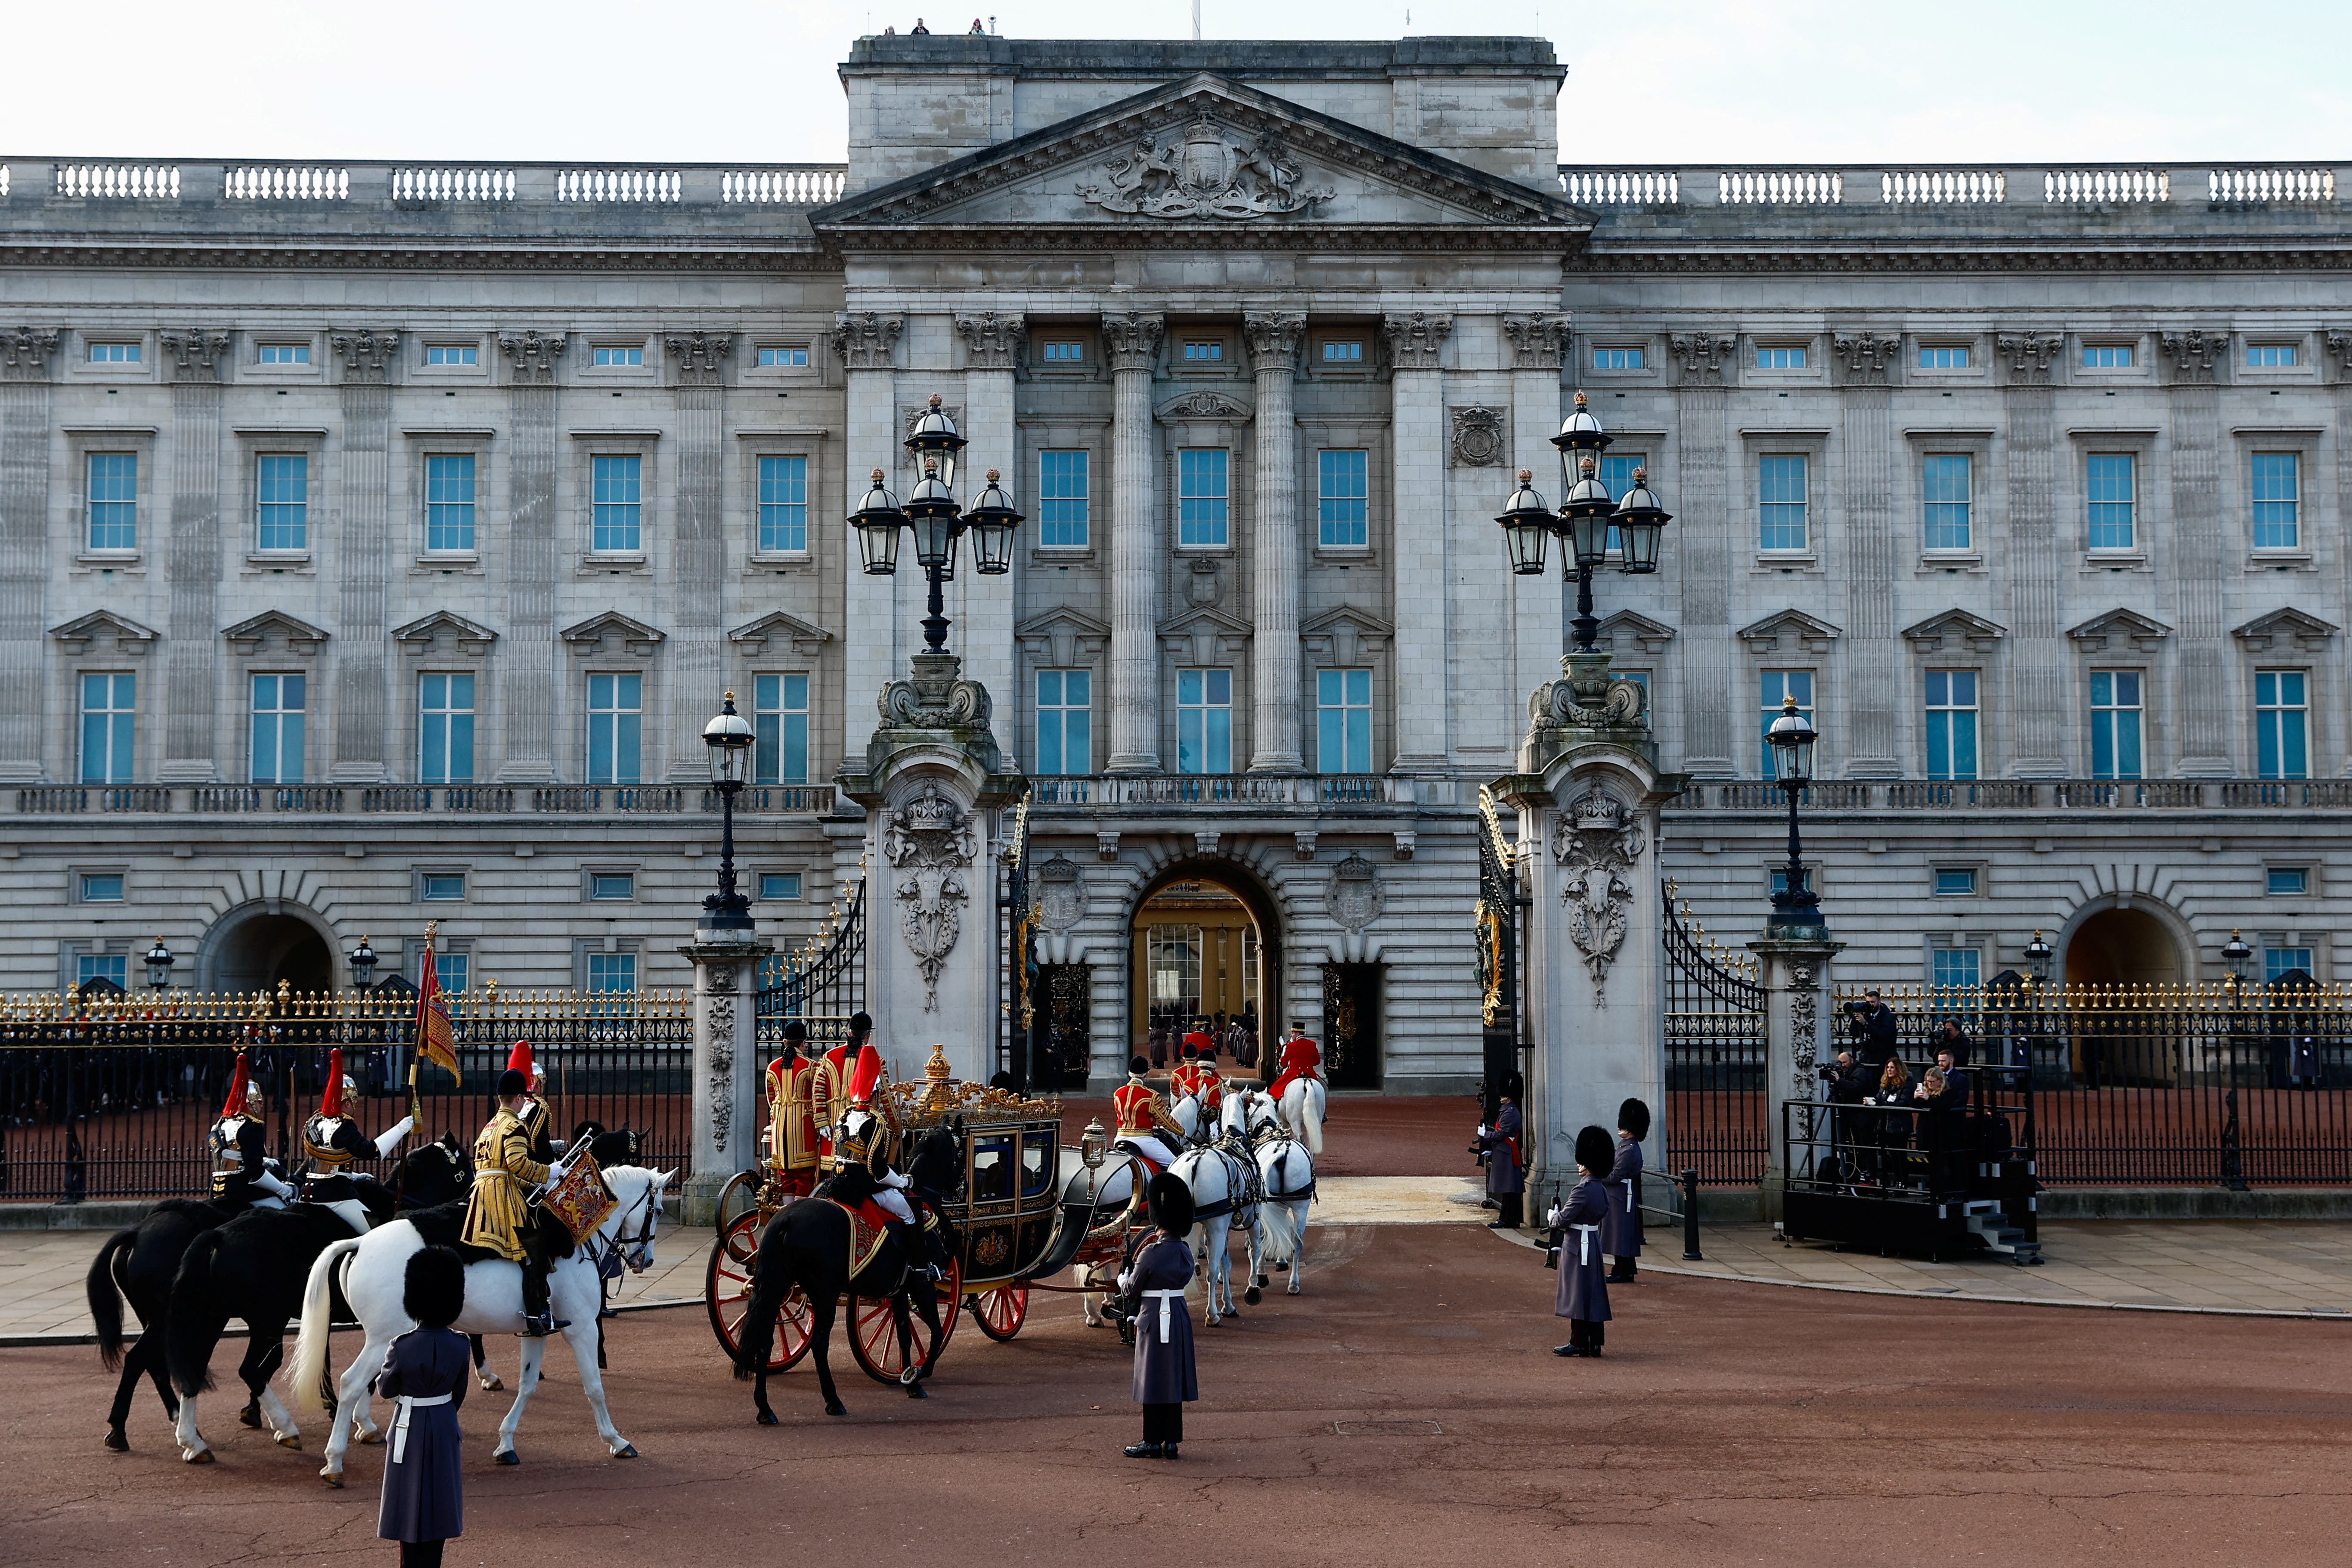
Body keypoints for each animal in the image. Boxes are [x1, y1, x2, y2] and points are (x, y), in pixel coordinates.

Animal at [289, 1166, 672, 1485]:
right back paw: (334, 1461)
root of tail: (362, 1241)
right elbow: (594, 1388)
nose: (646, 1260)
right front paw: (616, 1440)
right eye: (658, 1211)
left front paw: (506, 1443)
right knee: (351, 1382)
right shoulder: (581, 1329)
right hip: (383, 1336)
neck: (573, 1235)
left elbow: (528, 1386)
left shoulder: (538, 1328)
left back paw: (363, 1432)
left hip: (388, 1336)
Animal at [729, 1124, 959, 1429]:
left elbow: (903, 1334)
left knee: (765, 1342)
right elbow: (935, 1331)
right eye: (958, 1150)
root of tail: (783, 1219)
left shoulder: (899, 1292)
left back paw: (765, 1409)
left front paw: (911, 1380)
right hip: (824, 1294)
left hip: (778, 1287)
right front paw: (920, 1373)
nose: (960, 1185)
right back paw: (833, 1401)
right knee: (818, 1343)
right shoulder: (923, 1284)